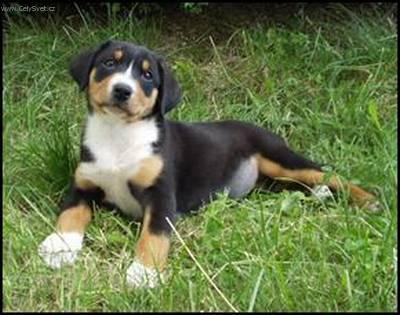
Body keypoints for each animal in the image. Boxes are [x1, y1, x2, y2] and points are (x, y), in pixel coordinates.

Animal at [39, 39, 380, 288]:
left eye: (147, 76)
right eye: (110, 62)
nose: (123, 90)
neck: (117, 135)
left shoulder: (162, 197)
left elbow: (153, 236)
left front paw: (144, 273)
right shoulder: (84, 184)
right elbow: (70, 214)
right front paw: (60, 246)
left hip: (283, 160)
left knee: (328, 174)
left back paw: (369, 200)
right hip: (272, 181)